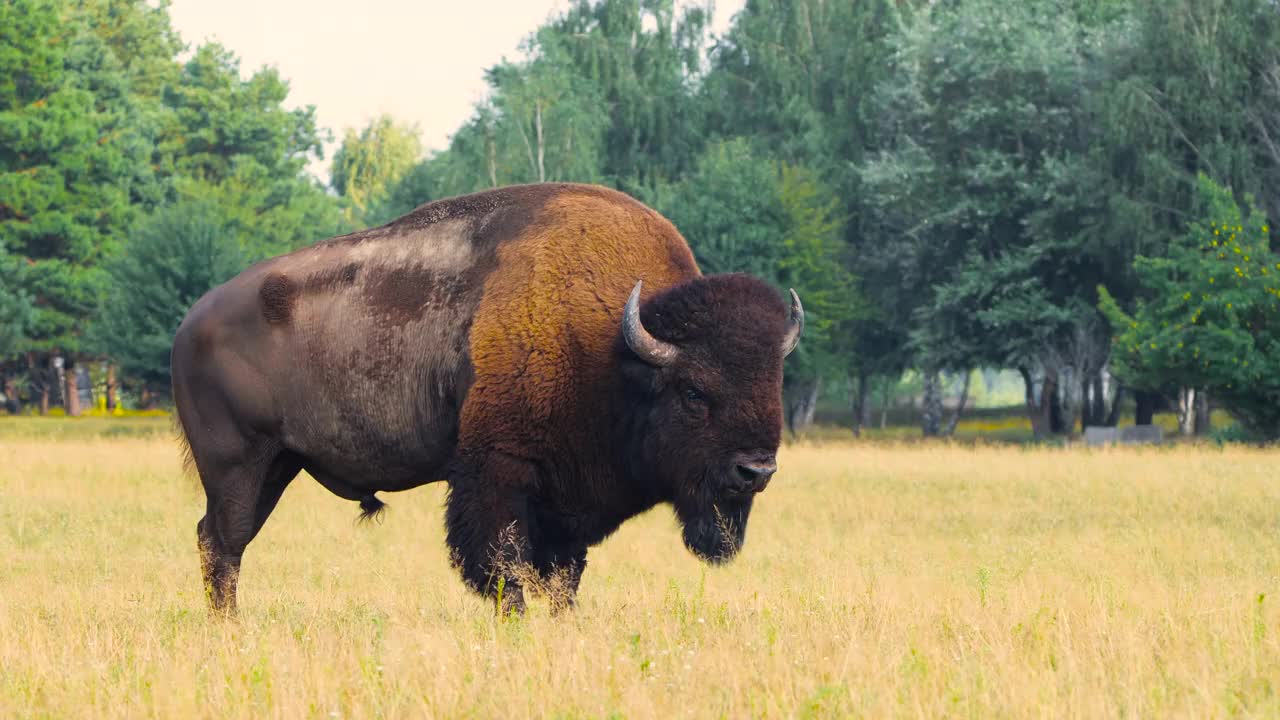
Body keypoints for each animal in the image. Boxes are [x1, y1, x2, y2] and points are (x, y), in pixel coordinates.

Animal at [172, 180, 798, 609]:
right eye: (694, 391)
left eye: (774, 382)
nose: (756, 470)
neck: (612, 351)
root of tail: (190, 325)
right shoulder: (498, 474)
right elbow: (503, 570)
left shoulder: (567, 503)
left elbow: (562, 578)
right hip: (237, 464)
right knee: (223, 542)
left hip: (279, 464)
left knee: (221, 539)